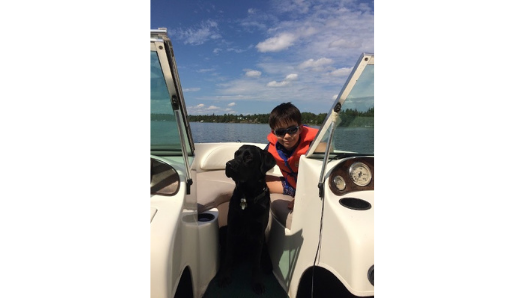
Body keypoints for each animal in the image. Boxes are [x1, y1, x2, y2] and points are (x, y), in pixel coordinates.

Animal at [217, 144, 276, 294]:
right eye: (236, 154)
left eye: (249, 157)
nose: (228, 164)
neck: (247, 197)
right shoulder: (232, 228)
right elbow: (229, 256)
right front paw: (225, 276)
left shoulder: (258, 234)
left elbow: (256, 263)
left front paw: (257, 282)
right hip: (224, 229)